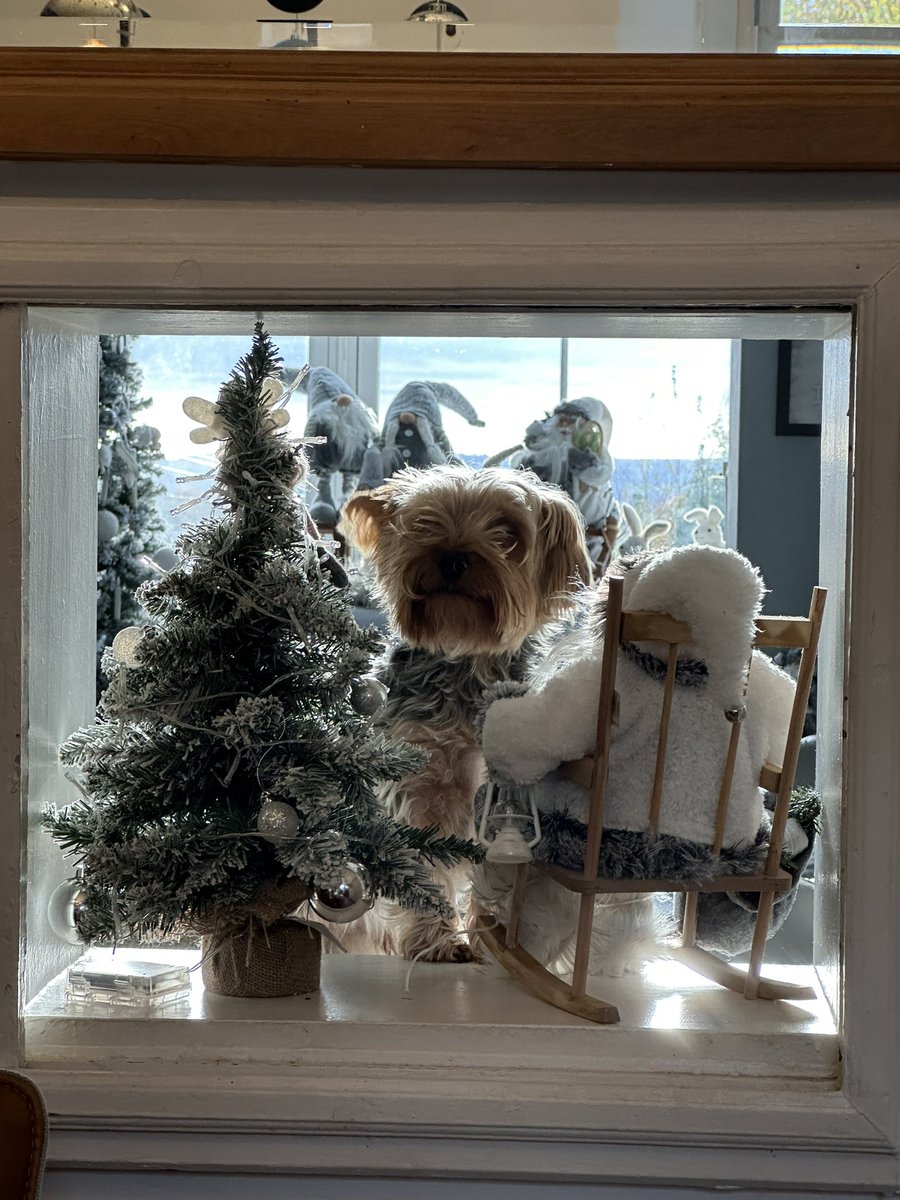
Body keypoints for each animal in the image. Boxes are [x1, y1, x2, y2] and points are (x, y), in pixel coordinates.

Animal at [336, 463, 592, 960]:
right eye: (424, 522)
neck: (464, 654)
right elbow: (424, 867)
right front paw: (438, 943)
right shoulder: (418, 783)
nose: (452, 558)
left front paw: (496, 937)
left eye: (507, 531)